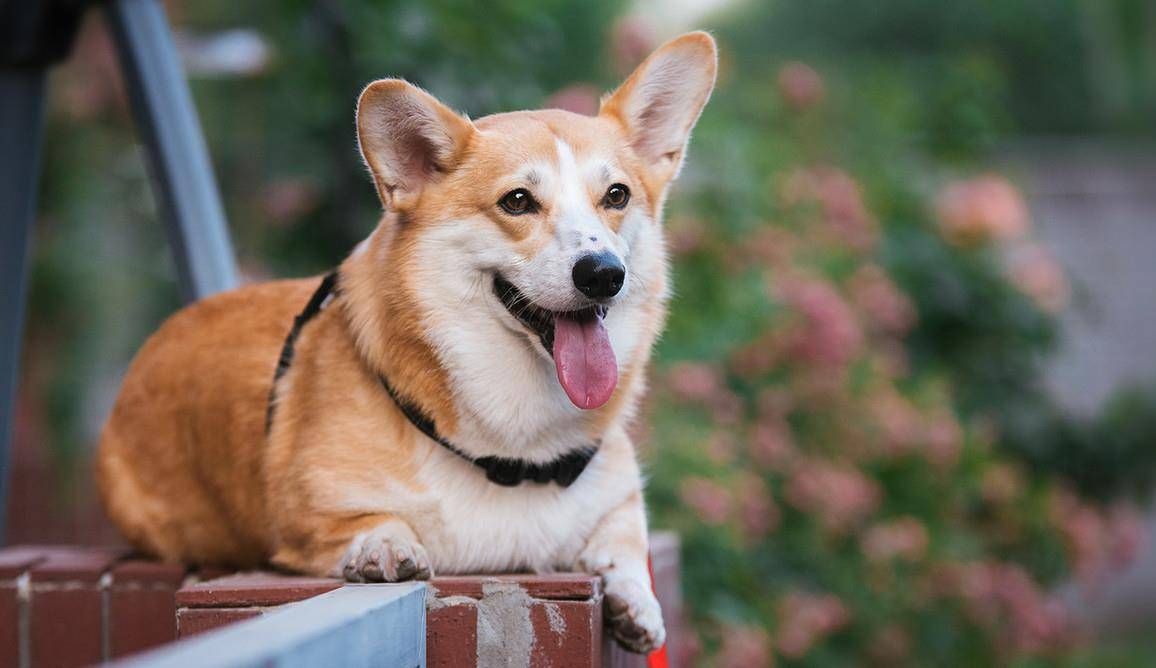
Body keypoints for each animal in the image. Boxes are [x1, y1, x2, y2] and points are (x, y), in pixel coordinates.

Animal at [97, 28, 712, 647]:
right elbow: (369, 520)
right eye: (517, 200)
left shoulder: (618, 498)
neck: (515, 456)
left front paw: (636, 602)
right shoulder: (306, 521)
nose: (604, 273)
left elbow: (625, 541)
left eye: (617, 196)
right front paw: (385, 547)